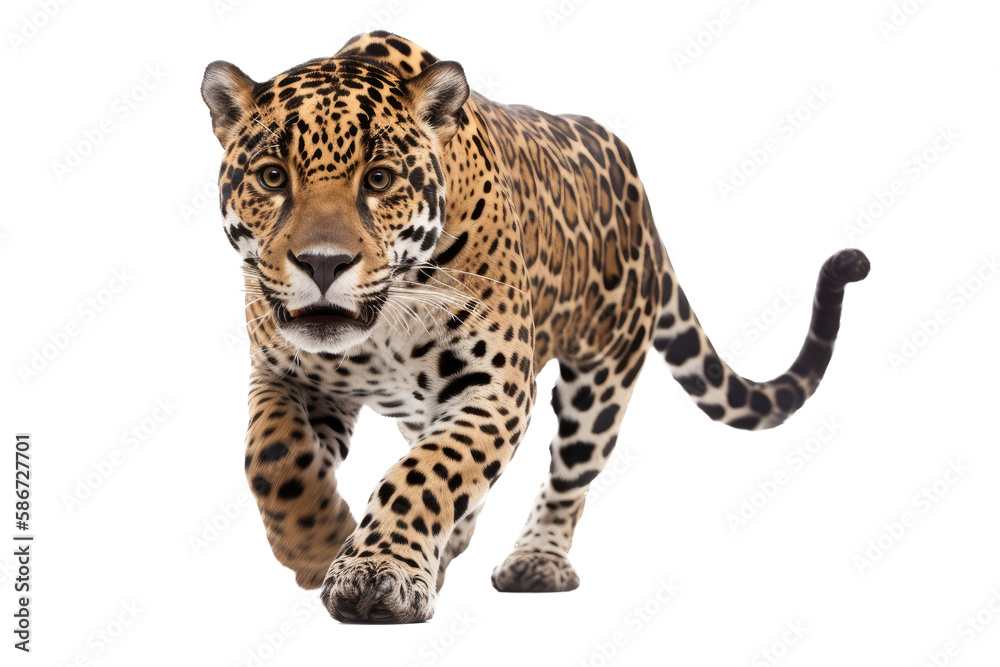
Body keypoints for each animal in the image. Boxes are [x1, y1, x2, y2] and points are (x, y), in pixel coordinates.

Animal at [201, 31, 869, 624]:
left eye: (379, 179)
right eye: (272, 177)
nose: (322, 264)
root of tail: (640, 195)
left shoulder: (494, 388)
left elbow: (428, 473)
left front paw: (377, 572)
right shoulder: (286, 374)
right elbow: (271, 458)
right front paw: (320, 548)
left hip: (602, 378)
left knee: (571, 472)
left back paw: (535, 562)